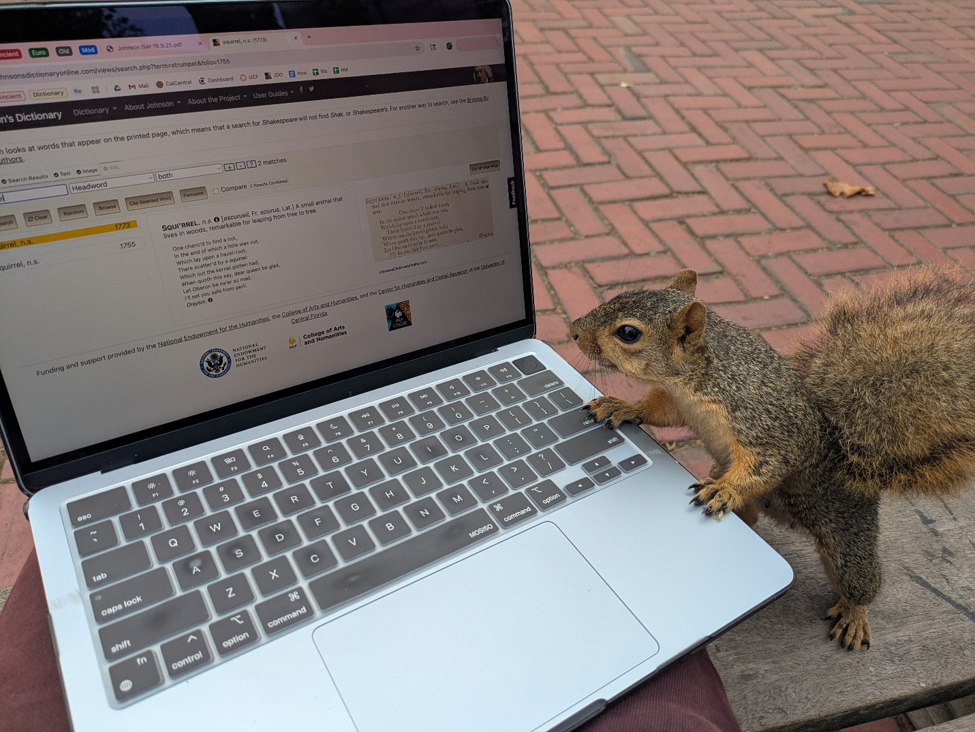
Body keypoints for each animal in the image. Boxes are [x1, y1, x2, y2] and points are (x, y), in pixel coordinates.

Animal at [569, 267, 975, 651]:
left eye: (628, 333)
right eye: (619, 296)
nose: (573, 330)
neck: (697, 378)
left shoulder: (764, 423)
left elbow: (768, 461)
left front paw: (725, 490)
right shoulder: (676, 402)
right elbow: (656, 411)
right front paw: (622, 407)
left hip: (848, 536)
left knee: (859, 580)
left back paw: (854, 615)